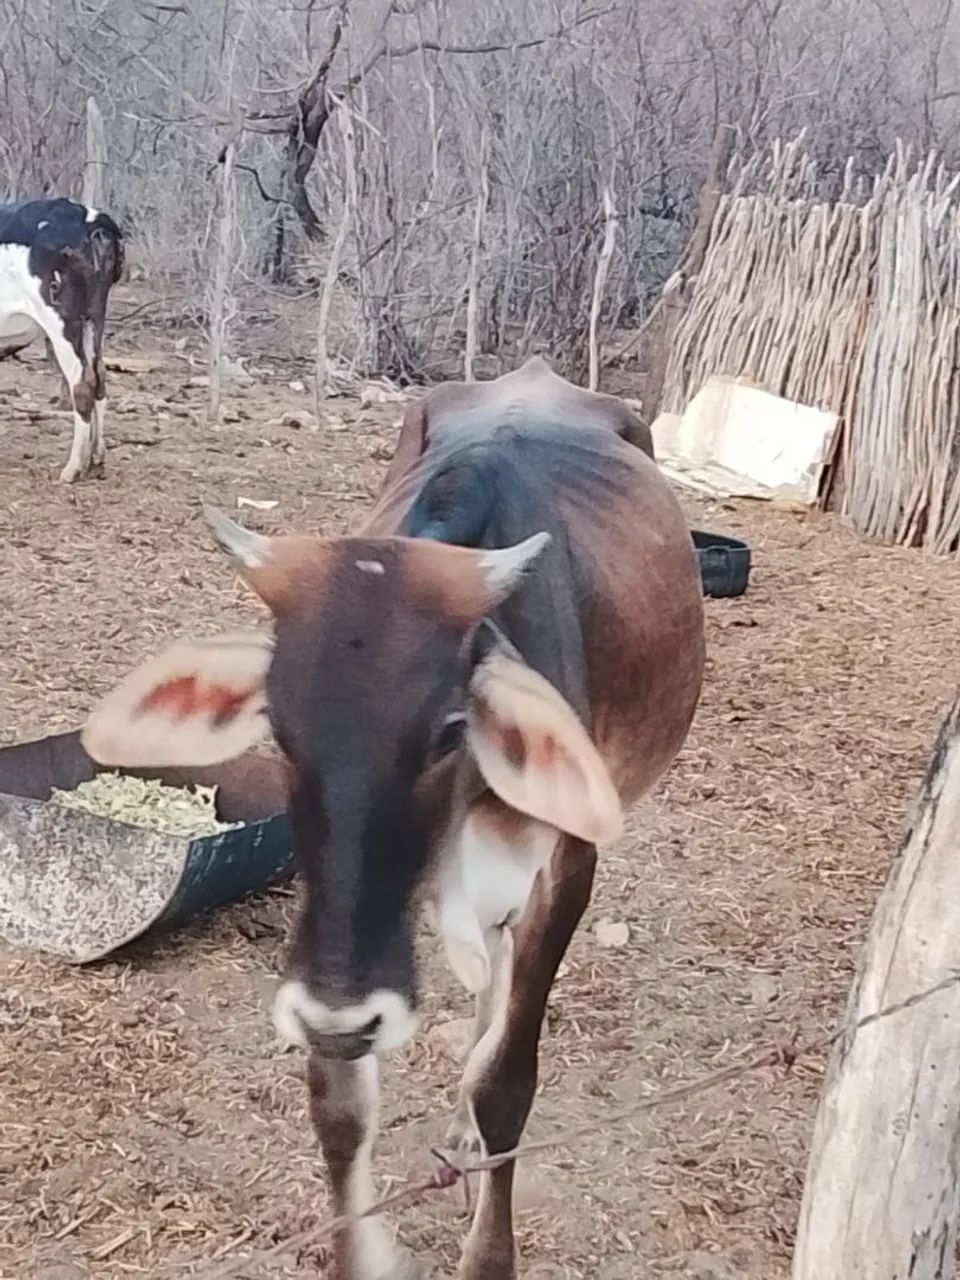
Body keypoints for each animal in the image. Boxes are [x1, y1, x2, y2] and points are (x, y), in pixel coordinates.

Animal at [0, 197, 124, 482]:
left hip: (62, 320)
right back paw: (96, 461)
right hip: (94, 319)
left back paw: (73, 468)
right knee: (99, 377)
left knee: (82, 382)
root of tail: (90, 219)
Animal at [81, 357, 705, 1279]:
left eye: (449, 729)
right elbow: (338, 1103)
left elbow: (508, 1082)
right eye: (277, 727)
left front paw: (488, 1251)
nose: (339, 1016)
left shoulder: (567, 867)